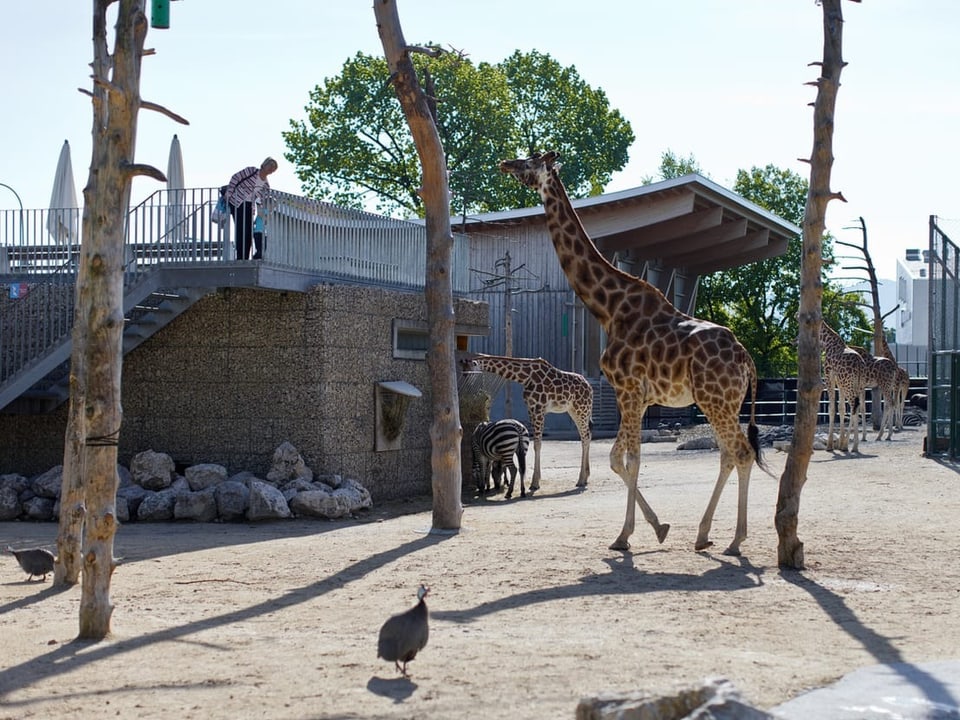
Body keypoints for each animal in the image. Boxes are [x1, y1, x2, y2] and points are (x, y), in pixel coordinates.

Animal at [460, 352, 588, 490]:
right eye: (463, 372)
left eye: (469, 371)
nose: (467, 386)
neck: (526, 376)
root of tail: (589, 387)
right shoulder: (531, 409)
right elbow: (535, 443)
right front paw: (535, 480)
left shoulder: (539, 408)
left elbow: (537, 444)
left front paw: (534, 483)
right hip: (573, 410)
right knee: (586, 436)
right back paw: (586, 477)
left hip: (581, 409)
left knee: (585, 437)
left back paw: (581, 479)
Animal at [502, 152, 764, 556]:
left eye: (530, 161)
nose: (505, 164)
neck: (609, 308)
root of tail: (745, 357)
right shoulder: (639, 398)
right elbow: (623, 459)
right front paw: (653, 529)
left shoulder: (626, 390)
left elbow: (624, 459)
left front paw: (632, 534)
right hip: (724, 402)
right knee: (727, 454)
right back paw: (704, 534)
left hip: (715, 400)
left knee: (741, 452)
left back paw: (735, 541)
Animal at [820, 324, 868, 452]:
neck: (828, 343)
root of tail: (860, 364)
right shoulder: (840, 383)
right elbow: (841, 408)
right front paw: (840, 443)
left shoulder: (829, 376)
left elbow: (832, 408)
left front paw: (830, 445)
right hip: (858, 385)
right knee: (857, 407)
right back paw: (847, 444)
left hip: (849, 385)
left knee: (854, 406)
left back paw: (853, 446)